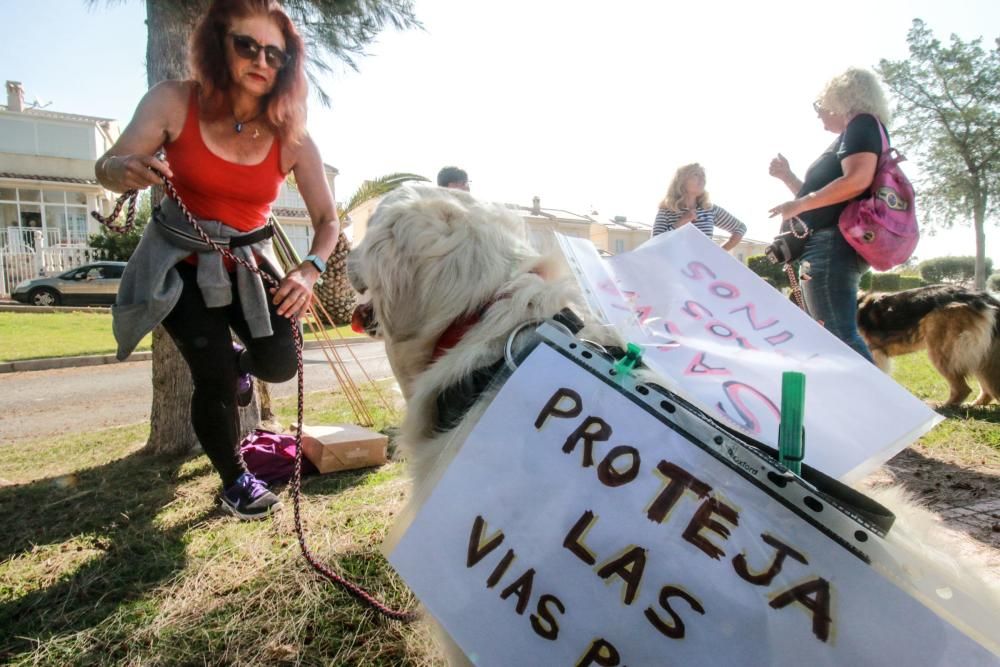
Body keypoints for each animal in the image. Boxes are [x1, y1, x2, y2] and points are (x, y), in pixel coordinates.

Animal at [856, 284, 1000, 404]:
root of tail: (984, 297)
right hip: (977, 355)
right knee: (986, 390)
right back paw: (975, 404)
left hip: (941, 351)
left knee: (963, 389)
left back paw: (942, 406)